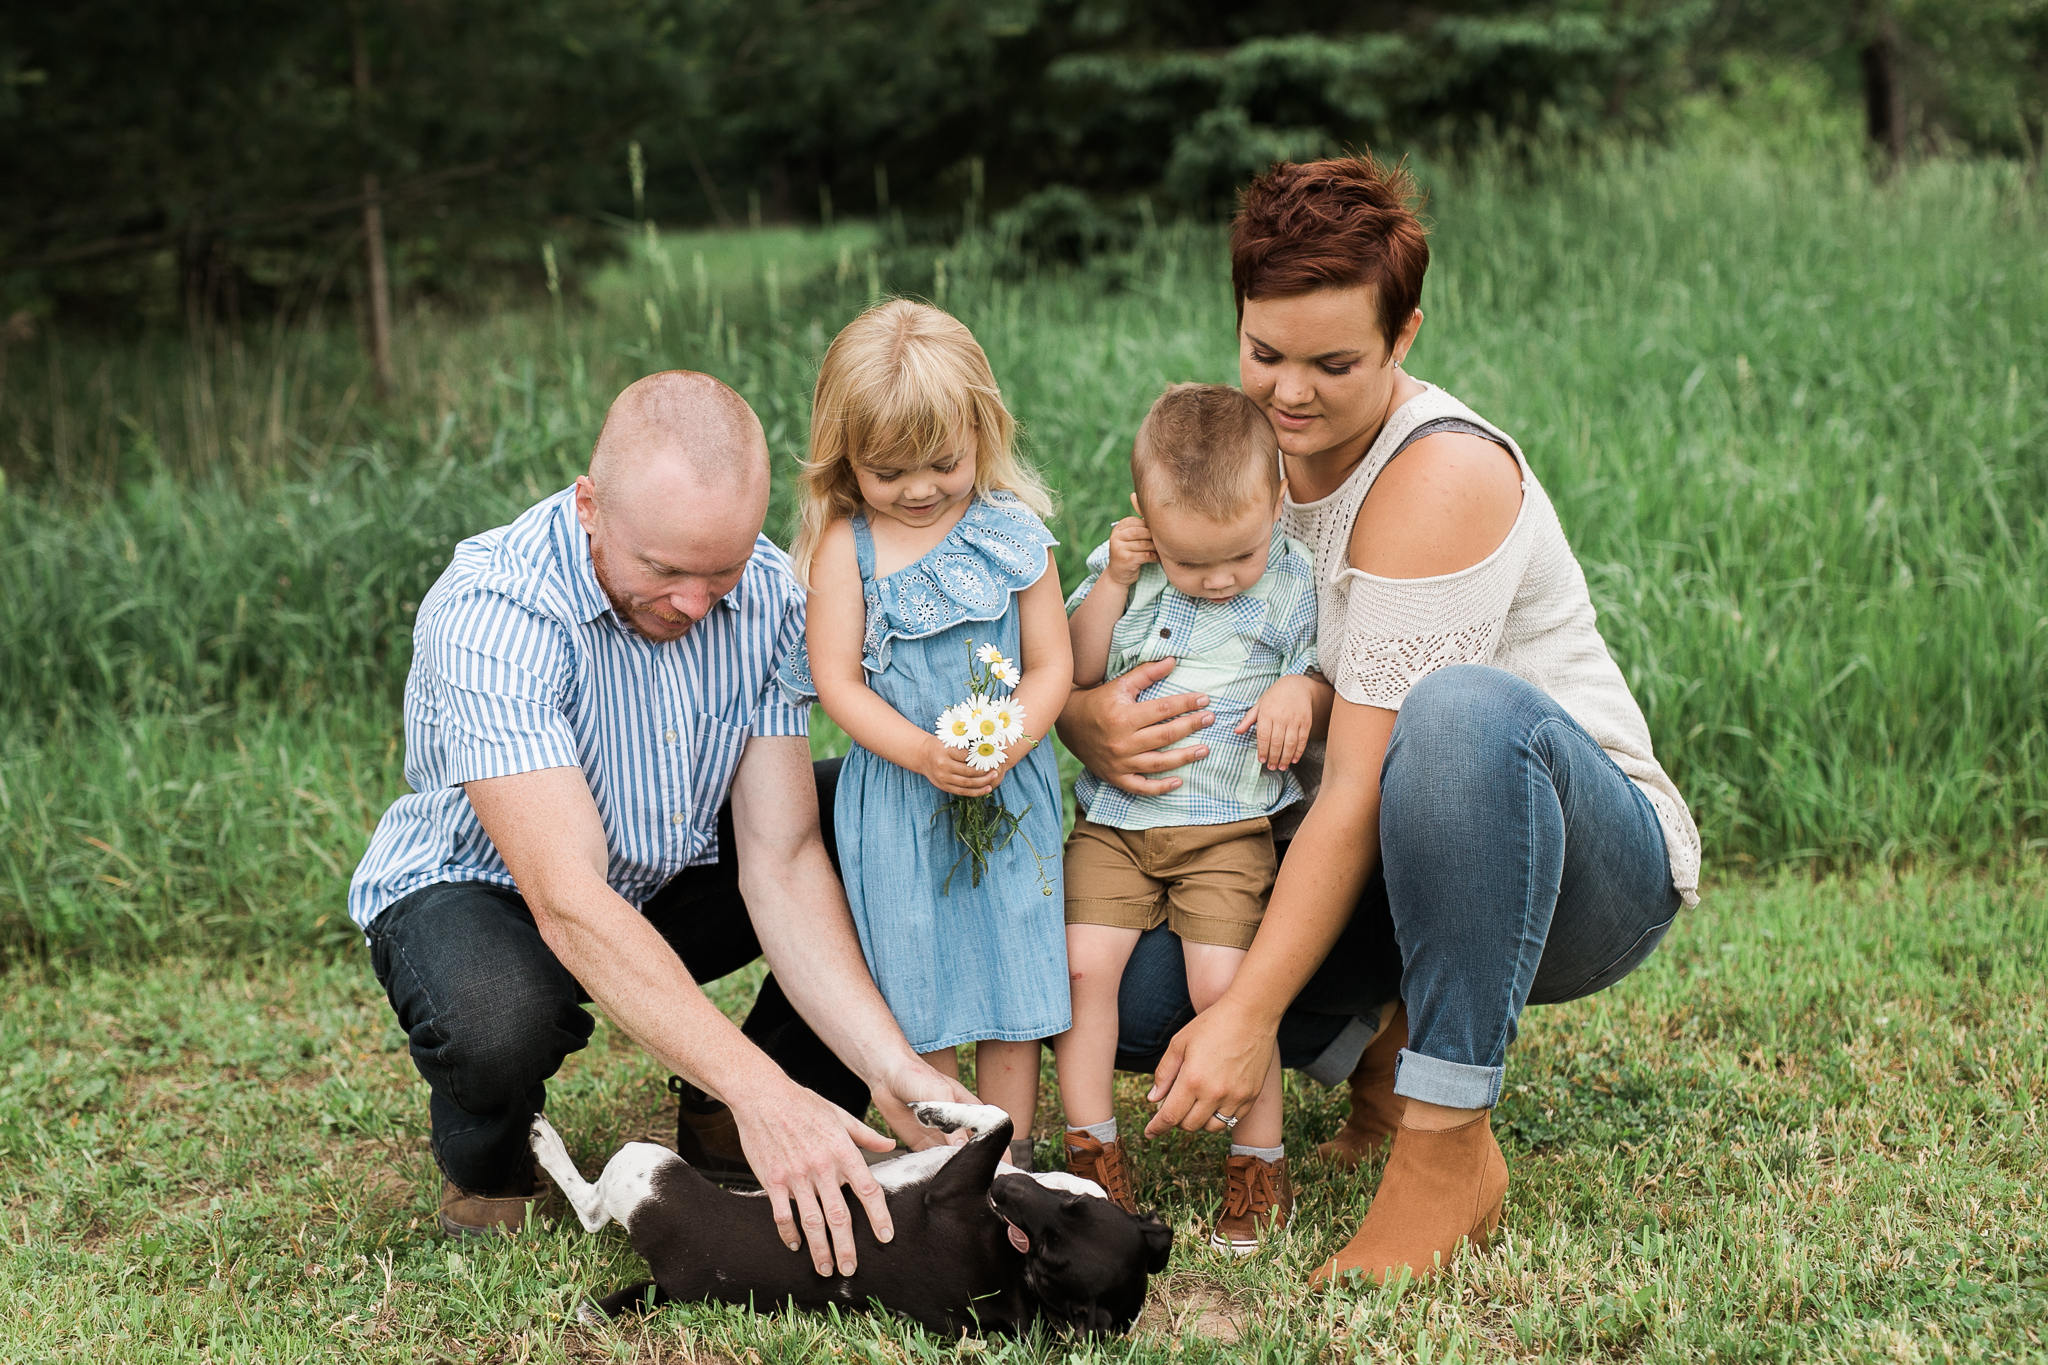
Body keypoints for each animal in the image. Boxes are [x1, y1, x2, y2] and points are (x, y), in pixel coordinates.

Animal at [528, 1096, 1171, 1334]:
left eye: (1050, 1250)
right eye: (1072, 1211)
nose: (1006, 1191)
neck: (1019, 1279)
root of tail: (669, 1283)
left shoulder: (955, 1185)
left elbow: (999, 1116)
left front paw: (938, 1109)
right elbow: (1033, 1149)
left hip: (644, 1165)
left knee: (589, 1208)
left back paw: (545, 1143)